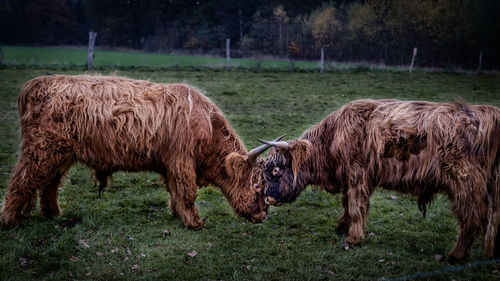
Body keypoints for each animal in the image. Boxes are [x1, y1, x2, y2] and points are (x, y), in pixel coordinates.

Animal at [1, 75, 280, 230]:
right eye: (256, 185)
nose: (263, 216)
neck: (208, 127)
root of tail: (37, 83)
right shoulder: (182, 160)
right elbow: (187, 191)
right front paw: (194, 222)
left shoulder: (170, 163)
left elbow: (174, 191)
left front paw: (177, 214)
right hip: (41, 148)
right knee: (22, 180)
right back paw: (9, 221)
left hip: (60, 153)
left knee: (50, 182)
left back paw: (53, 214)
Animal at [260, 99, 500, 260]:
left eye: (277, 169)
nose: (268, 198)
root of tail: (488, 114)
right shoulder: (352, 177)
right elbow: (347, 203)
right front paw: (342, 226)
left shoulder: (358, 174)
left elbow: (356, 206)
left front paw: (353, 238)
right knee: (492, 216)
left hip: (465, 182)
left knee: (472, 216)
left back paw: (456, 254)